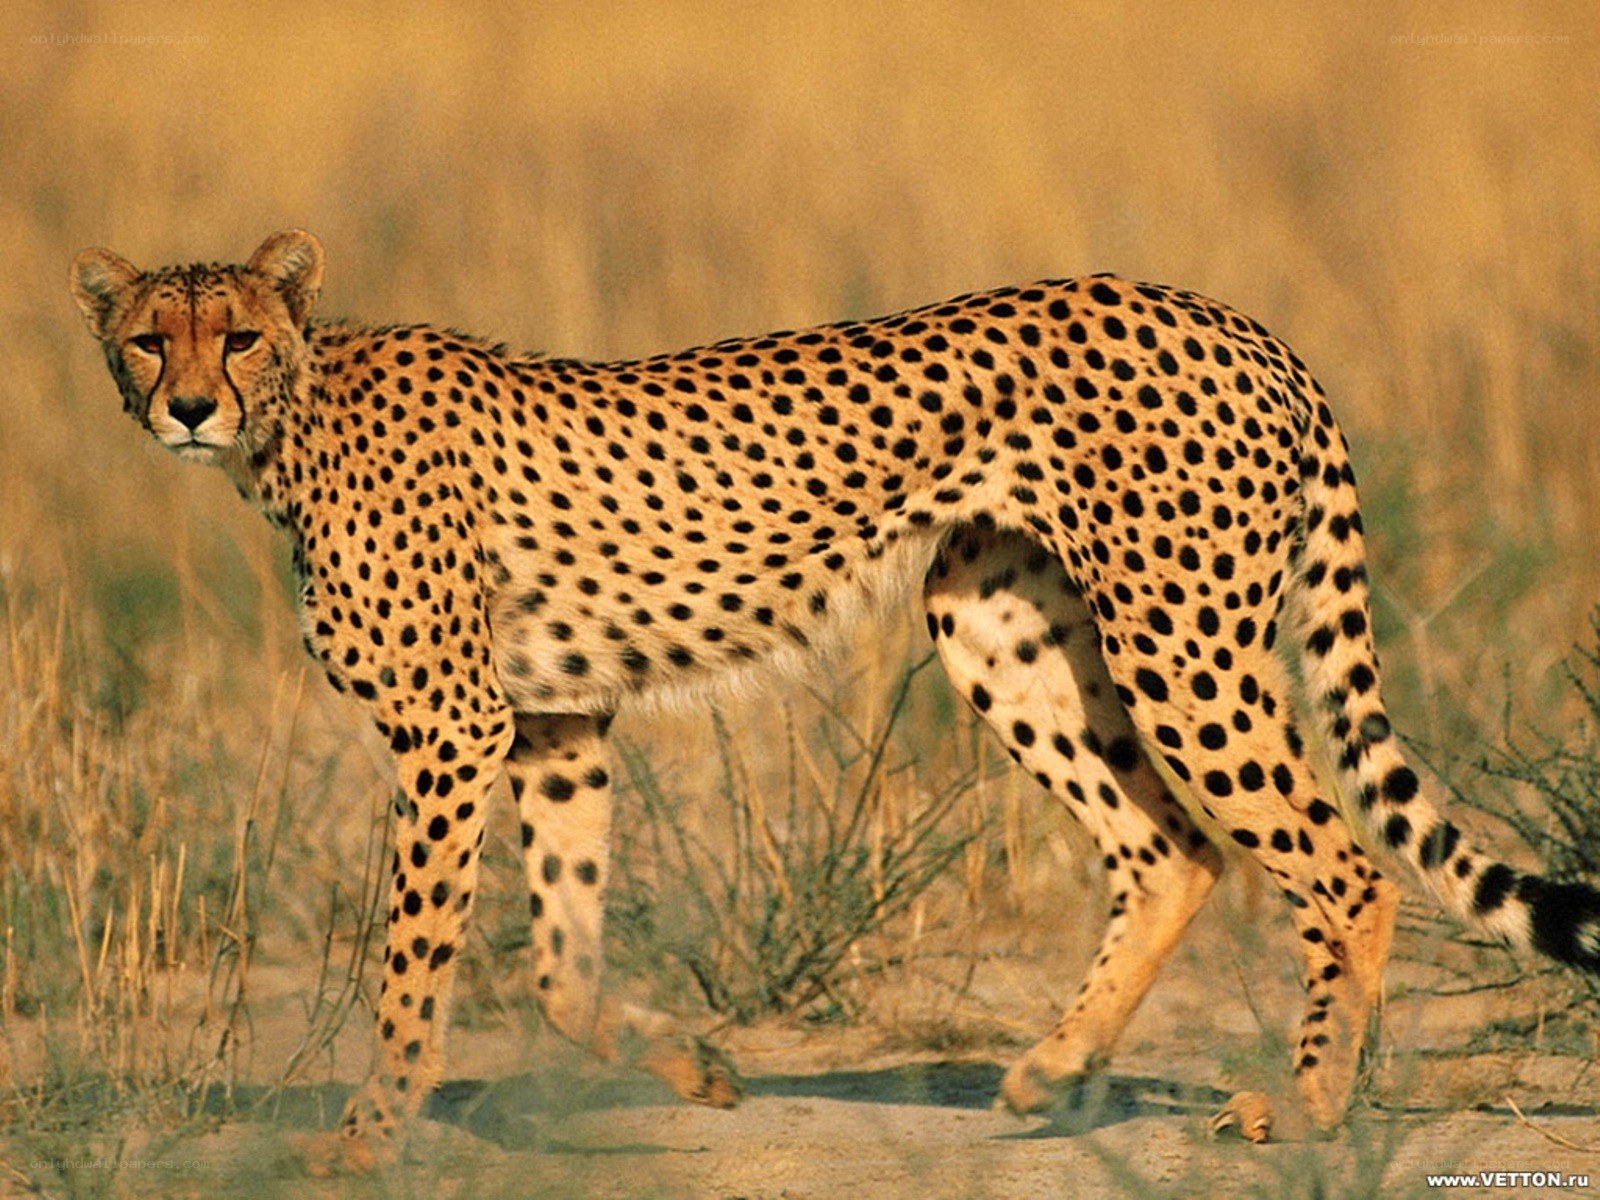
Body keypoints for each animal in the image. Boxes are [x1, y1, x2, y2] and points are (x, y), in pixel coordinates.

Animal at [69, 229, 1600, 1161]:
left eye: (237, 337)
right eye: (150, 338)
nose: (189, 406)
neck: (296, 422)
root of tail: (1232, 318)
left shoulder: (455, 728)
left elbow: (411, 958)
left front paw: (364, 1141)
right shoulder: (558, 720)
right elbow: (559, 959)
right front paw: (692, 1070)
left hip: (1181, 642)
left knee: (1342, 864)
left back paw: (1308, 1105)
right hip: (995, 625)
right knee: (1170, 850)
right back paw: (1051, 1071)